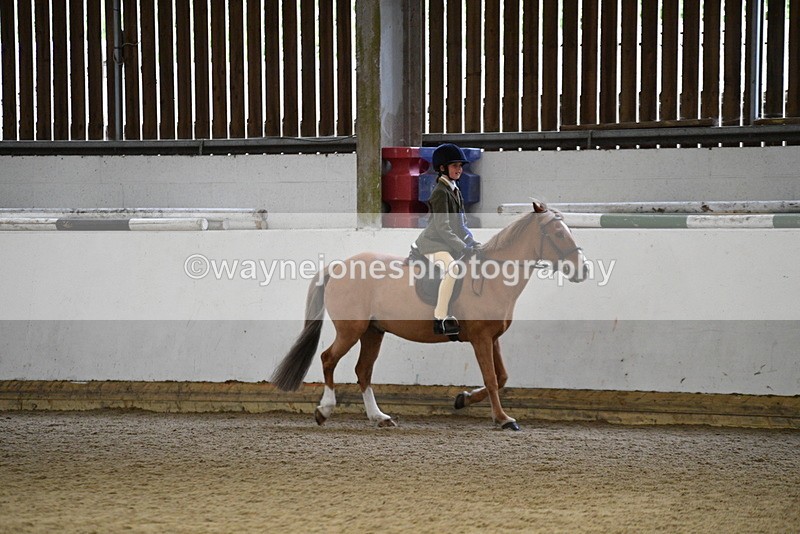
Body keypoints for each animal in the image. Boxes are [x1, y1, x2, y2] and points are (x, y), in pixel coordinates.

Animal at [270, 201, 587, 430]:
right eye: (559, 233)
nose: (582, 270)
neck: (493, 277)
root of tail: (338, 267)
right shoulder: (481, 338)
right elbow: (491, 378)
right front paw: (503, 419)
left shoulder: (492, 337)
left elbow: (501, 377)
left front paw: (463, 399)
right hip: (351, 330)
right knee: (328, 359)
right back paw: (324, 411)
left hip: (373, 332)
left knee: (363, 371)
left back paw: (379, 417)